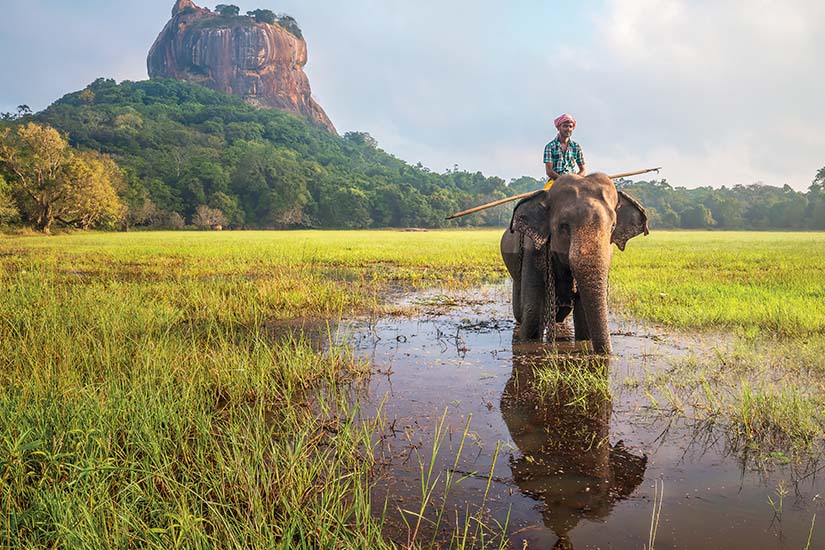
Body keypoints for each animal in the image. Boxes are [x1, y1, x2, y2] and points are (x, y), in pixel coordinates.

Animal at [498, 175, 648, 356]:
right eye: (563, 226)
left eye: (612, 226)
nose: (608, 354)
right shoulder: (532, 251)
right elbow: (533, 312)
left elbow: (583, 314)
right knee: (522, 308)